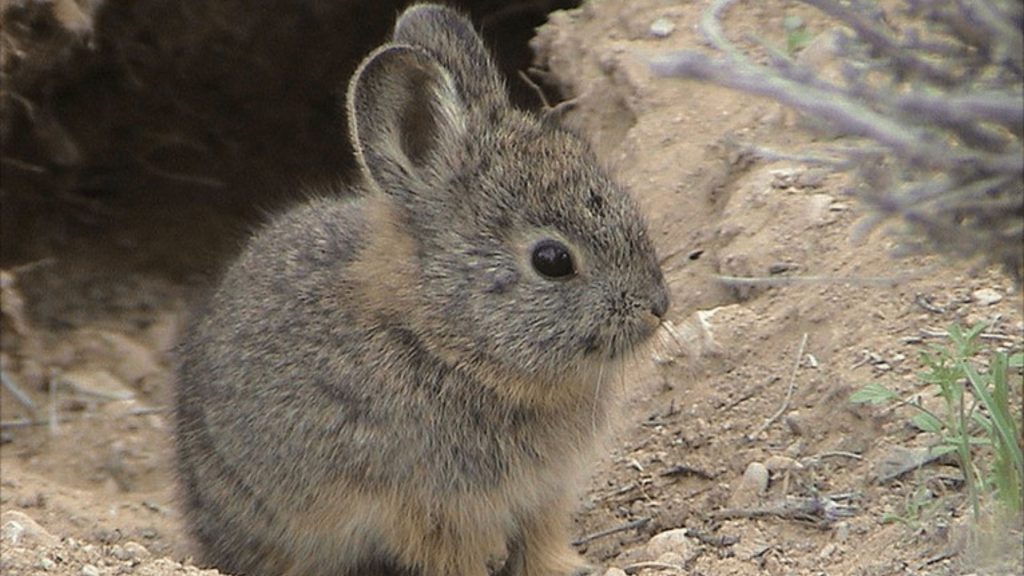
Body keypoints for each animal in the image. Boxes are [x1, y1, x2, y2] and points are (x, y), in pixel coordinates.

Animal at [174, 5, 671, 573]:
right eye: (552, 260)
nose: (658, 307)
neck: (438, 338)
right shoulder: (439, 511)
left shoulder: (542, 498)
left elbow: (540, 547)